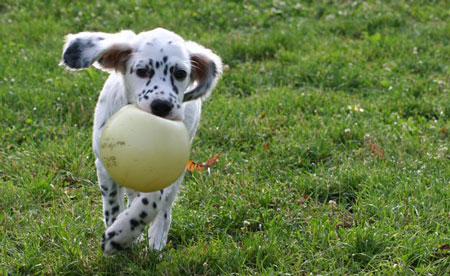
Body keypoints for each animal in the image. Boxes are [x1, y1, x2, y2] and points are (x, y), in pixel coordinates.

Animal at [60, 27, 222, 254]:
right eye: (142, 71)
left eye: (180, 74)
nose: (162, 105)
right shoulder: (104, 165)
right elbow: (112, 205)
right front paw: (120, 234)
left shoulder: (165, 169)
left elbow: (150, 201)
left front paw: (121, 236)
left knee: (165, 208)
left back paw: (156, 240)